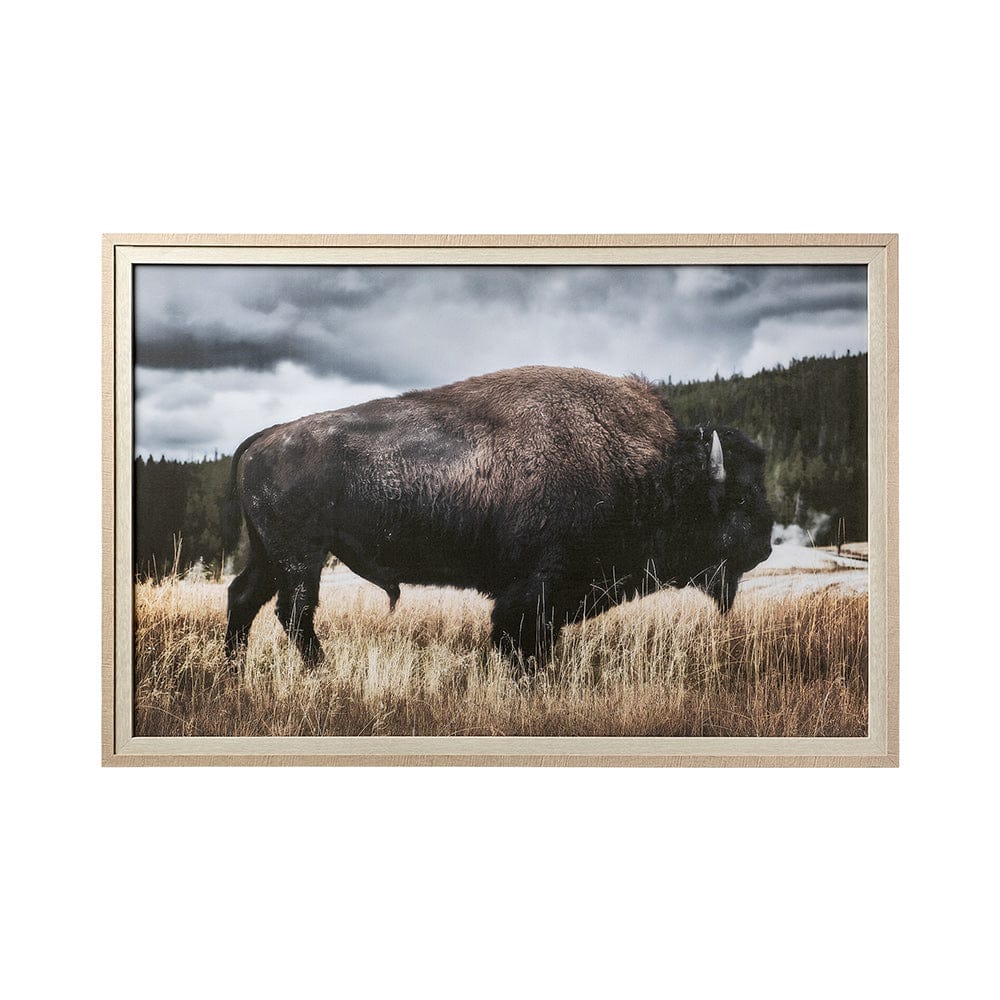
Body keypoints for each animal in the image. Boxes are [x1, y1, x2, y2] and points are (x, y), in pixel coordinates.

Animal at [222, 366, 773, 670]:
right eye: (741, 499)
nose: (765, 546)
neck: (649, 468)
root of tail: (265, 437)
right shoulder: (537, 590)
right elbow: (519, 639)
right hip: (302, 557)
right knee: (294, 613)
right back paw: (322, 671)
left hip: (272, 554)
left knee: (244, 597)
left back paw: (234, 671)